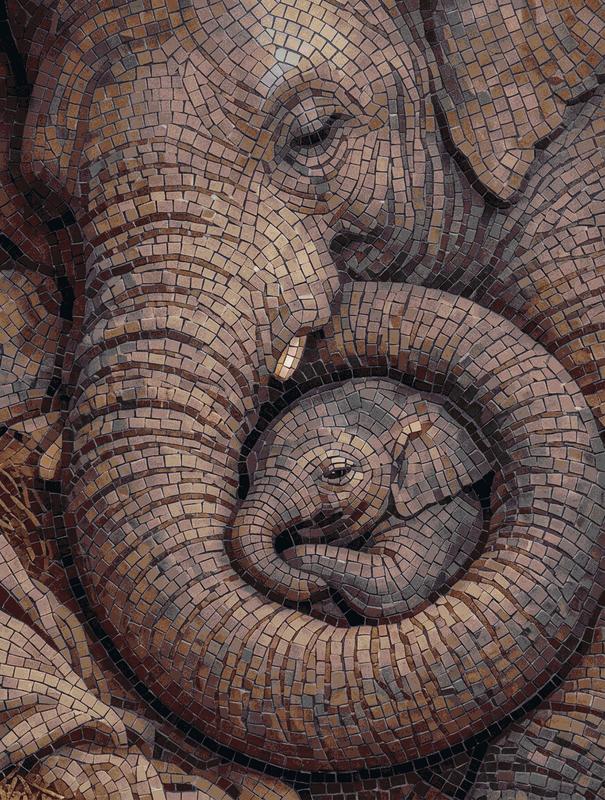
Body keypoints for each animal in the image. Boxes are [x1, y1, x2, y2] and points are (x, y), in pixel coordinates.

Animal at [231, 376, 491, 620]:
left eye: (337, 473)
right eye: (249, 467)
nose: (315, 589)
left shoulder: (440, 517)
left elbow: (394, 582)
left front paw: (301, 567)